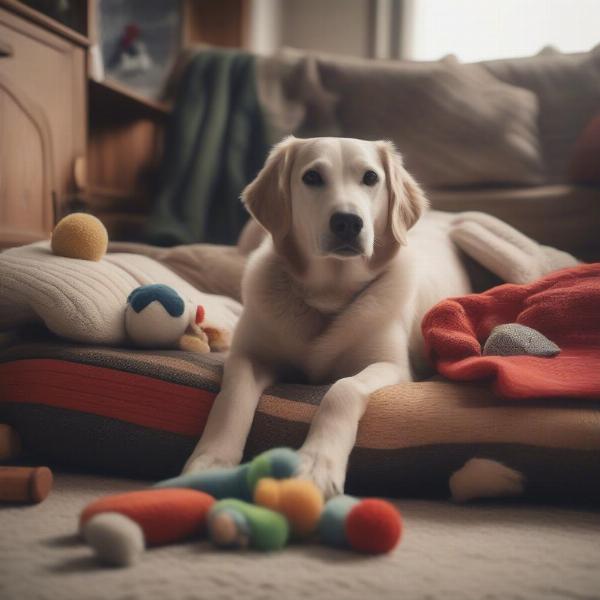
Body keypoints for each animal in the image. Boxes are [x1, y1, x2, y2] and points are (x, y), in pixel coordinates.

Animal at [180, 136, 472, 496]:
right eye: (312, 177)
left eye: (370, 178)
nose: (348, 222)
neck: (330, 295)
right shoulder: (249, 356)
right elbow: (232, 396)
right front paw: (212, 461)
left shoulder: (393, 367)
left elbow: (342, 390)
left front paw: (317, 465)